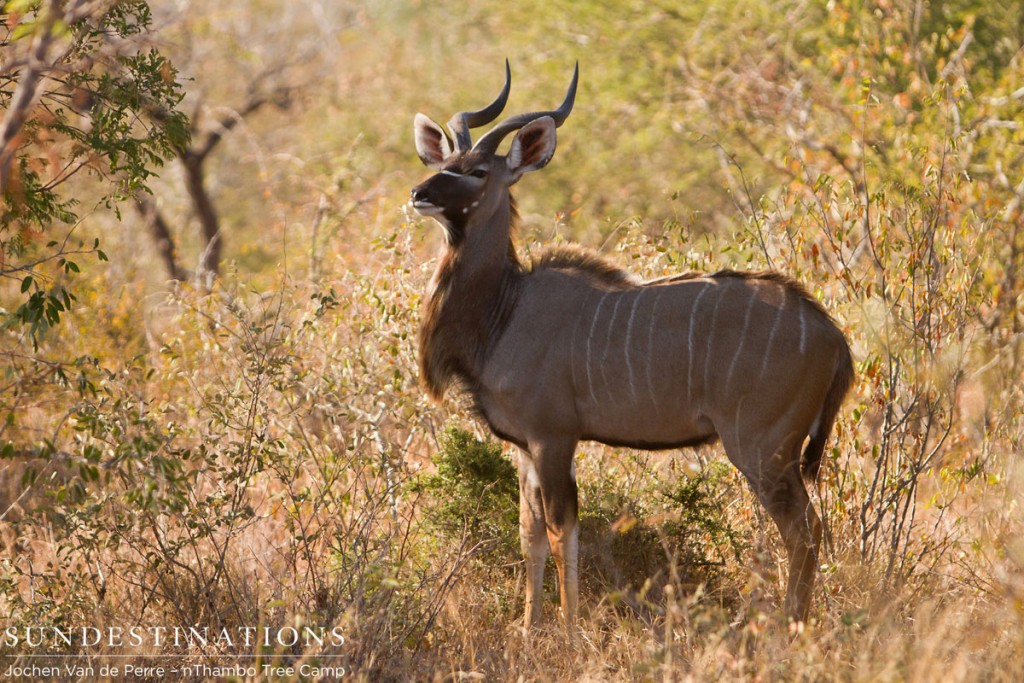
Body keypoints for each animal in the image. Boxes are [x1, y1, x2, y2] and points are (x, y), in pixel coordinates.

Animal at [409, 61, 856, 626]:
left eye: (477, 171)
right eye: (444, 160)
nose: (419, 193)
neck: (504, 310)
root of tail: (831, 334)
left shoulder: (554, 438)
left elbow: (562, 532)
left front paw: (569, 633)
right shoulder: (524, 448)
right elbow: (529, 534)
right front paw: (530, 630)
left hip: (763, 450)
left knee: (804, 531)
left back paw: (790, 625)